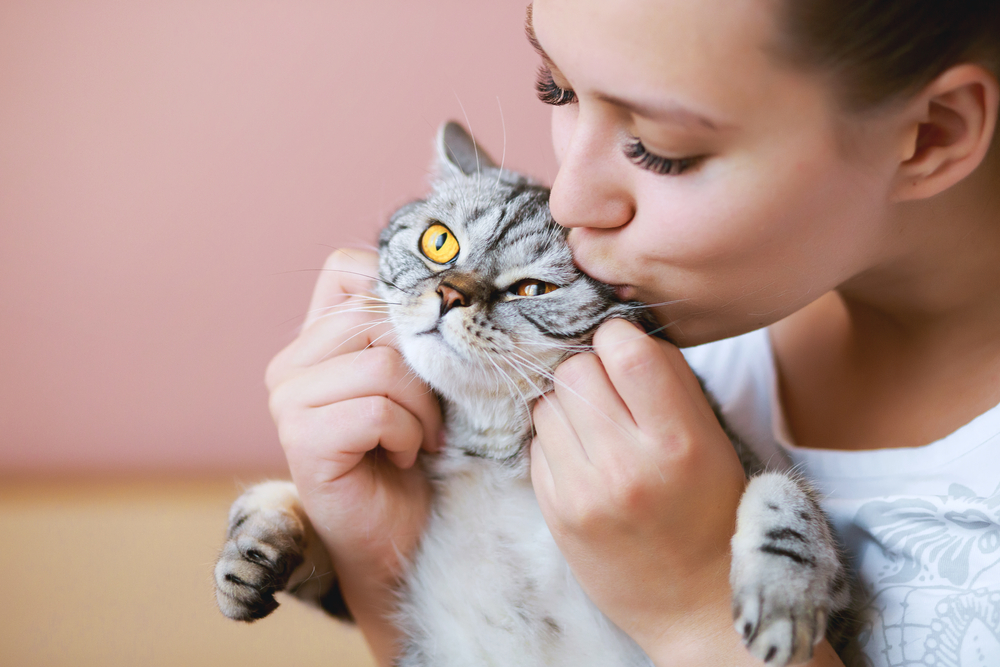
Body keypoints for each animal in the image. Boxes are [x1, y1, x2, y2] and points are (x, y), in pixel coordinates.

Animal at [215, 122, 856, 664]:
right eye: (439, 243)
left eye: (532, 289)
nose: (448, 294)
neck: (492, 456)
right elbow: (300, 525)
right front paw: (253, 546)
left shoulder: (841, 597)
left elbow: (784, 493)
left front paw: (781, 599)